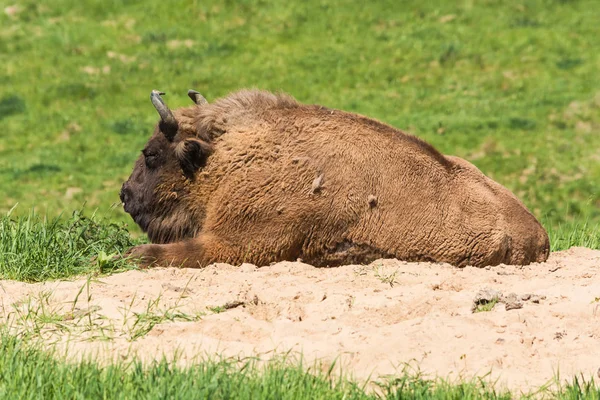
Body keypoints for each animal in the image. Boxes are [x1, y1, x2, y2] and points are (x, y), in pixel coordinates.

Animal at [119, 88, 552, 268]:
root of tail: (539, 235)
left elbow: (165, 254)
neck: (223, 158)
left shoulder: (237, 243)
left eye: (152, 154)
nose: (125, 193)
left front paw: (130, 255)